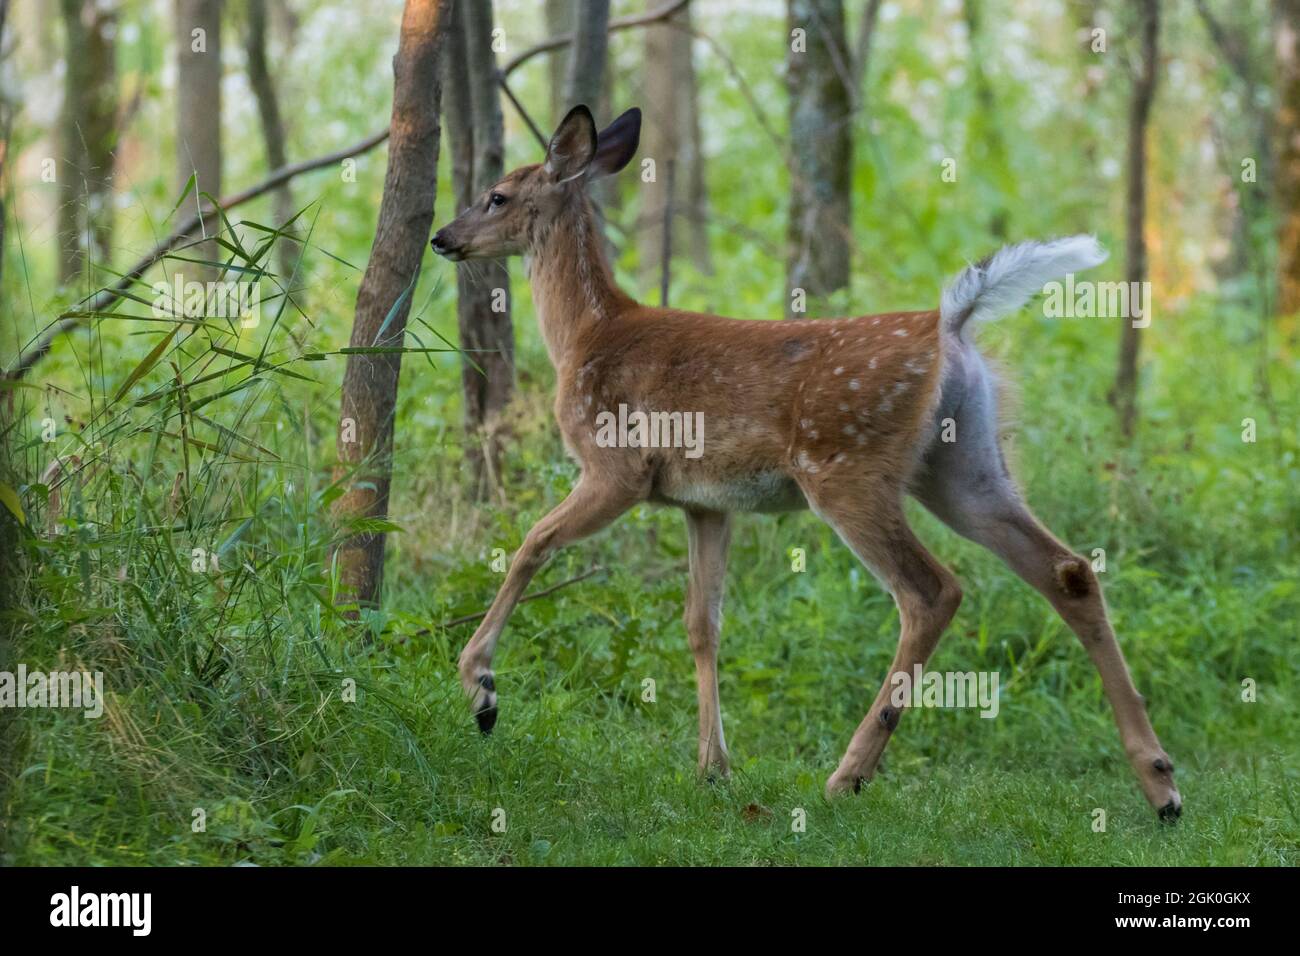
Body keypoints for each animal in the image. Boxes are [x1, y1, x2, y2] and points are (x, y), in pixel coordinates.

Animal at [430, 105, 1182, 821]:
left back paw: (848, 775)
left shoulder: (618, 467)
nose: (441, 237)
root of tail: (950, 325)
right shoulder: (704, 502)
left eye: (496, 196)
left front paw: (481, 688)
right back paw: (1162, 784)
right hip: (962, 464)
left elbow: (532, 543)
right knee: (1068, 570)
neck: (585, 336)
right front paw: (713, 767)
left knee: (932, 590)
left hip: (846, 464)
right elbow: (702, 623)